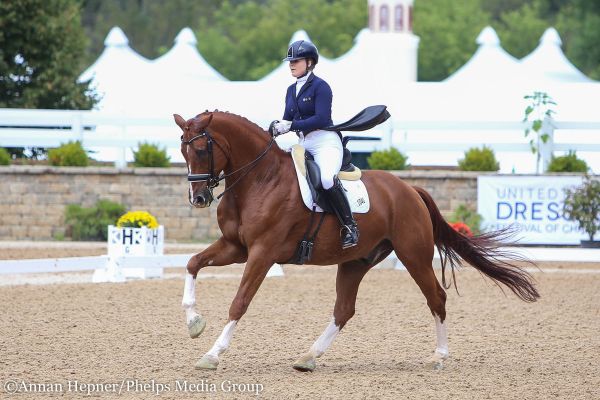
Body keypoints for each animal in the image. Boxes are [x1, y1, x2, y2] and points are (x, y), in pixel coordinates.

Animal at [174, 110, 539, 372]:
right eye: (182, 149)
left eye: (202, 148)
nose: (199, 198)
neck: (260, 178)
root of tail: (409, 189)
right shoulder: (236, 247)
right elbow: (192, 263)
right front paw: (193, 323)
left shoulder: (262, 253)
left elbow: (240, 302)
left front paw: (212, 354)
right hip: (356, 261)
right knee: (344, 309)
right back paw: (309, 356)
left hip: (414, 254)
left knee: (436, 297)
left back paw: (439, 356)